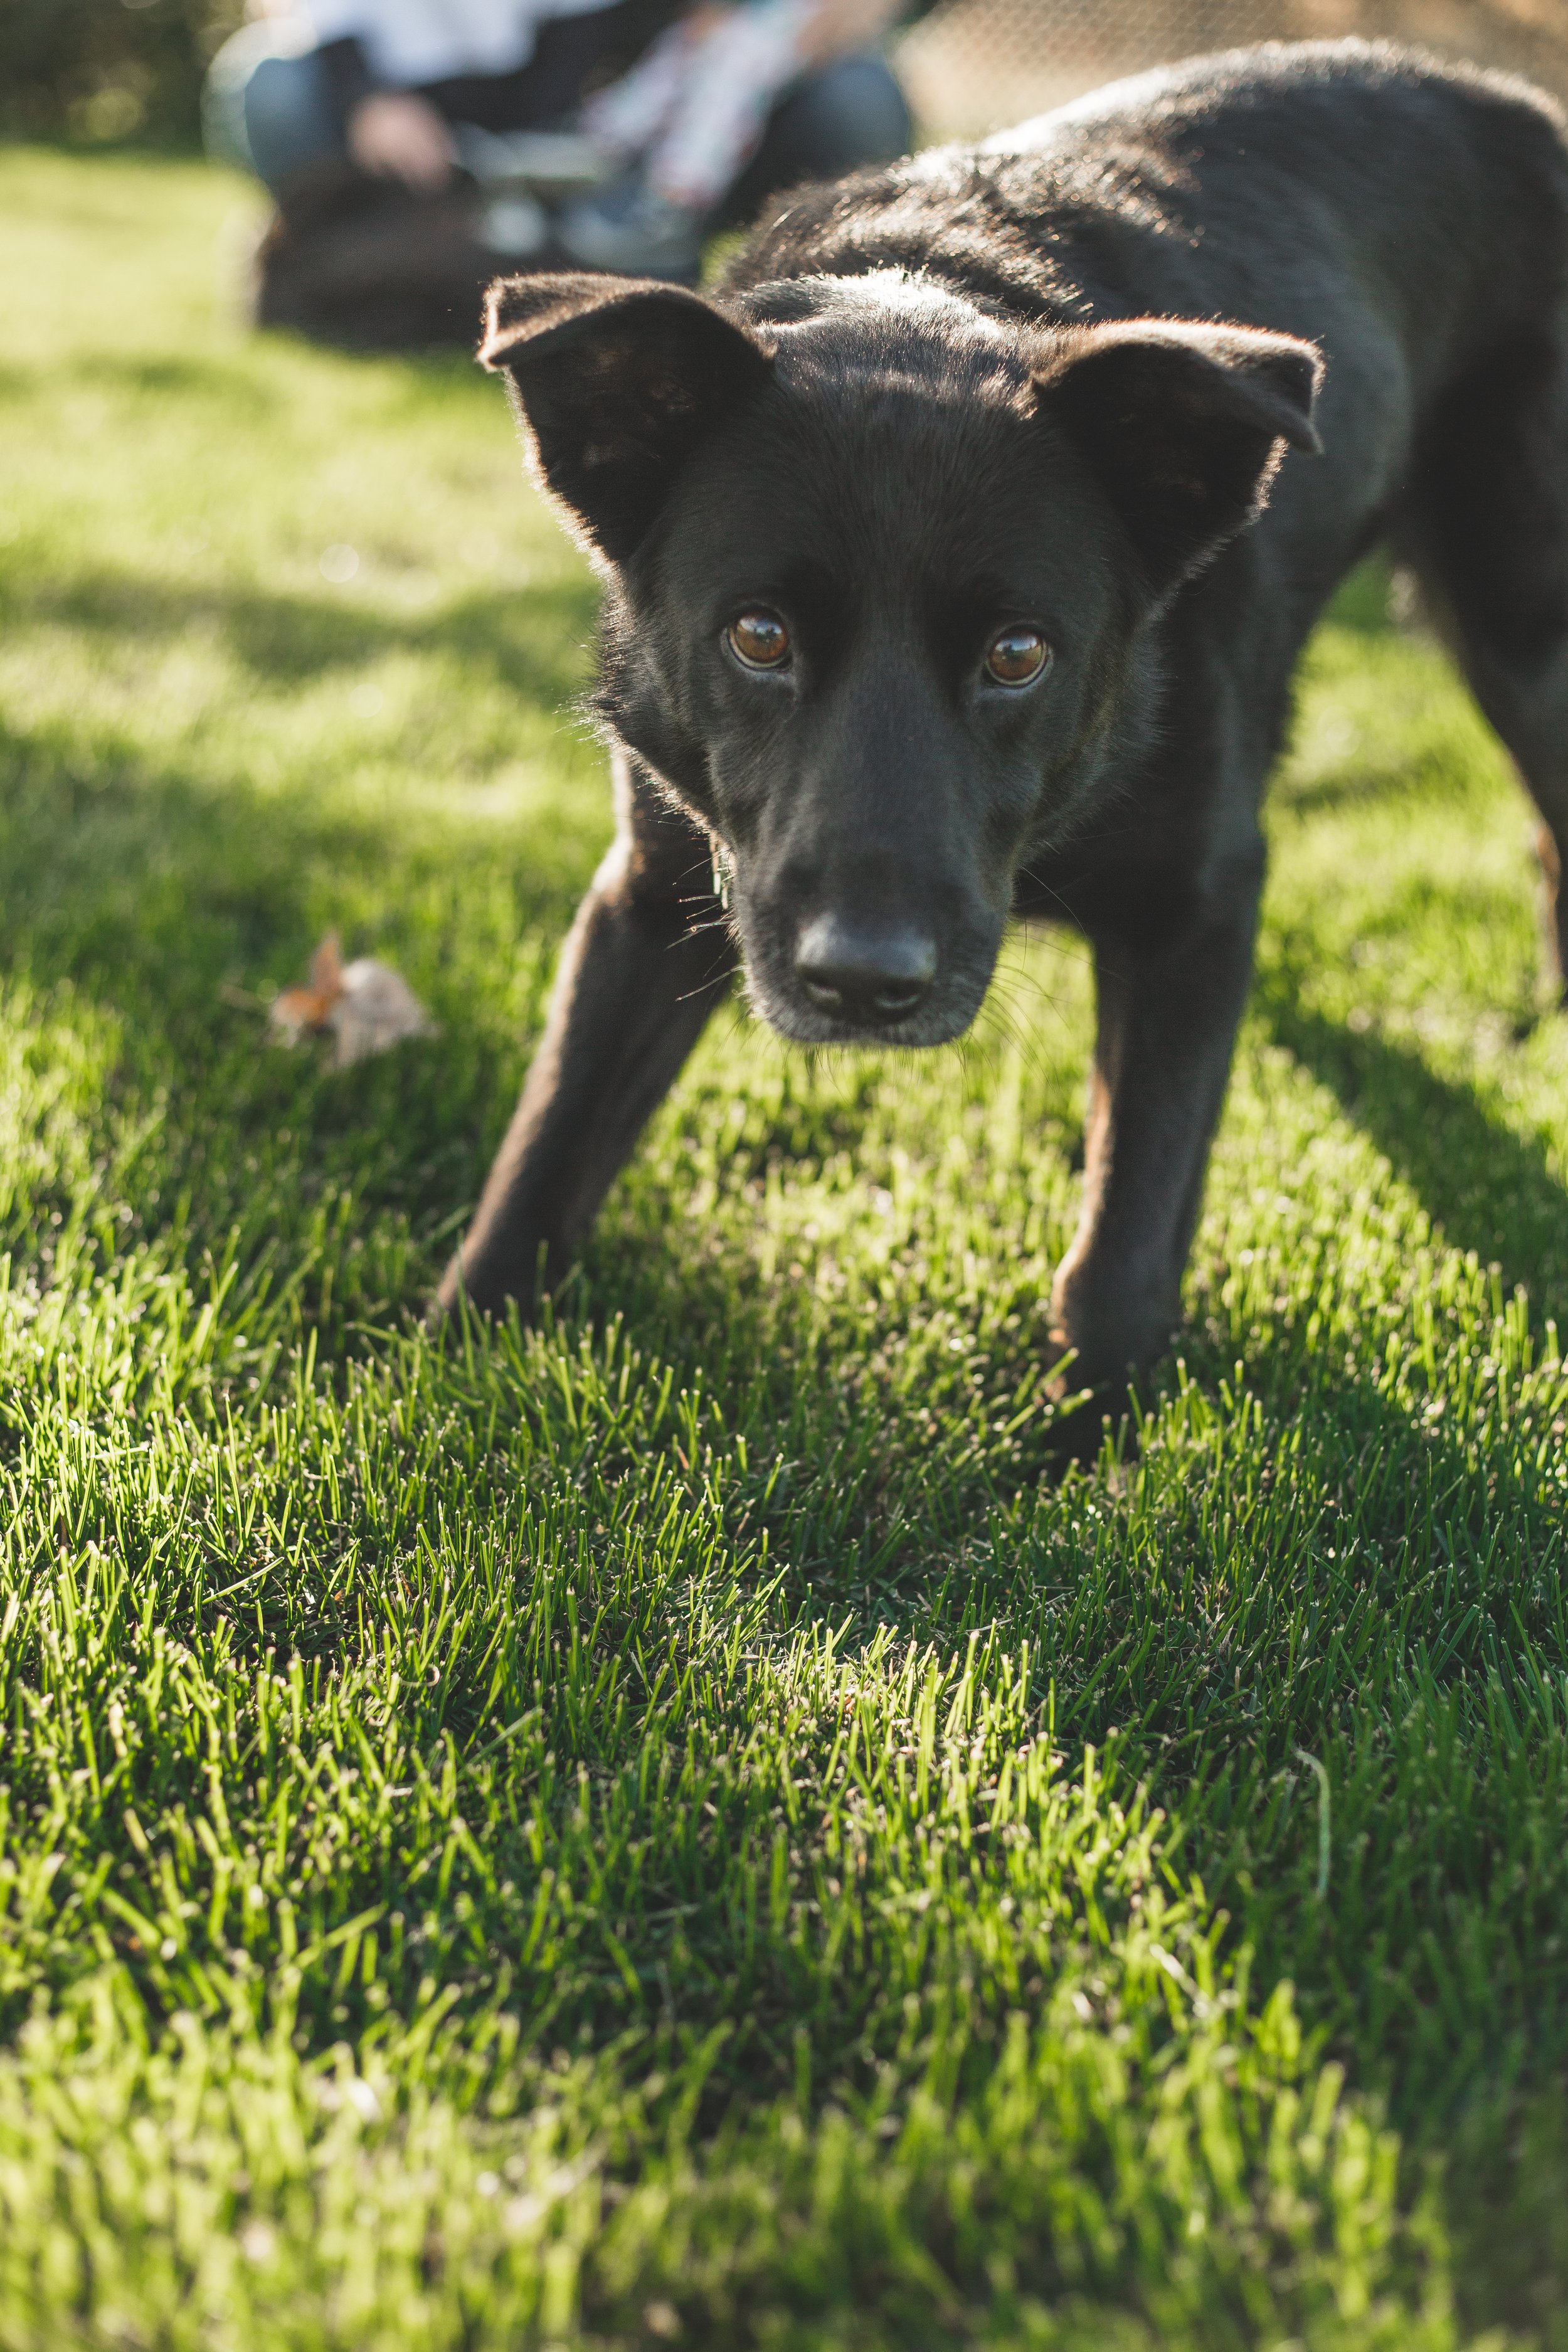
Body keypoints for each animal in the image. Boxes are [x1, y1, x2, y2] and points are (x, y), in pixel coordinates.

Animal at [435, 41, 1568, 1411]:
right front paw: (444, 1364)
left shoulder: (1188, 911)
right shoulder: (656, 889)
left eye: (1017, 654)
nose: (864, 985)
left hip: (1525, 630)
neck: (930, 287)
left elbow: (1125, 1241)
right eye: (757, 635)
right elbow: (542, 1153)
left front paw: (1084, 1441)